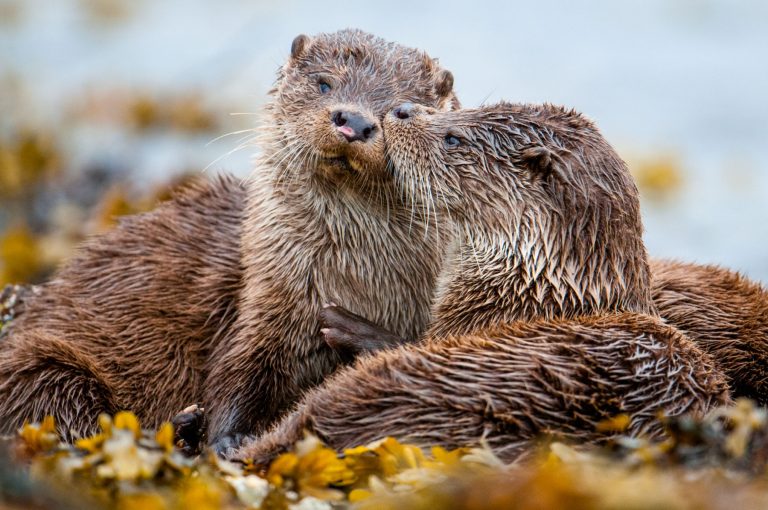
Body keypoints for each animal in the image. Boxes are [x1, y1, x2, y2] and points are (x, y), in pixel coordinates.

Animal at [0, 30, 458, 447]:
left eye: (402, 109)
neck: (357, 281)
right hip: (43, 366)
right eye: (325, 83)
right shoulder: (266, 299)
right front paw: (228, 436)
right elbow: (239, 370)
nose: (355, 121)